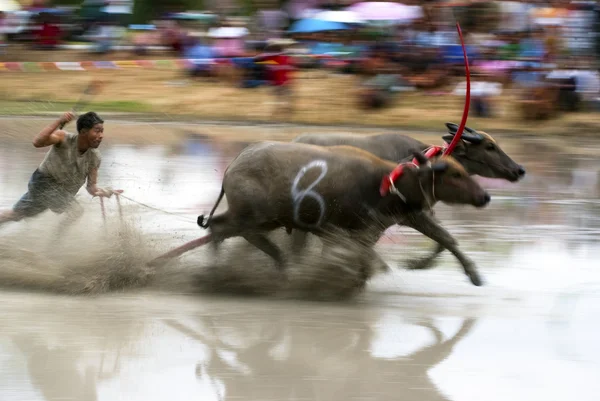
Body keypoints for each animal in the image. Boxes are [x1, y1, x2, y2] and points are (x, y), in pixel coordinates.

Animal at [199, 141, 490, 284]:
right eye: (455, 175)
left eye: (462, 171)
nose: (485, 197)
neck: (385, 182)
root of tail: (232, 167)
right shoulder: (348, 229)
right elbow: (357, 255)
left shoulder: (405, 216)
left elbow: (446, 239)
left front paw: (474, 275)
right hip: (250, 215)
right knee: (219, 227)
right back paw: (217, 270)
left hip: (263, 219)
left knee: (227, 230)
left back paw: (280, 267)